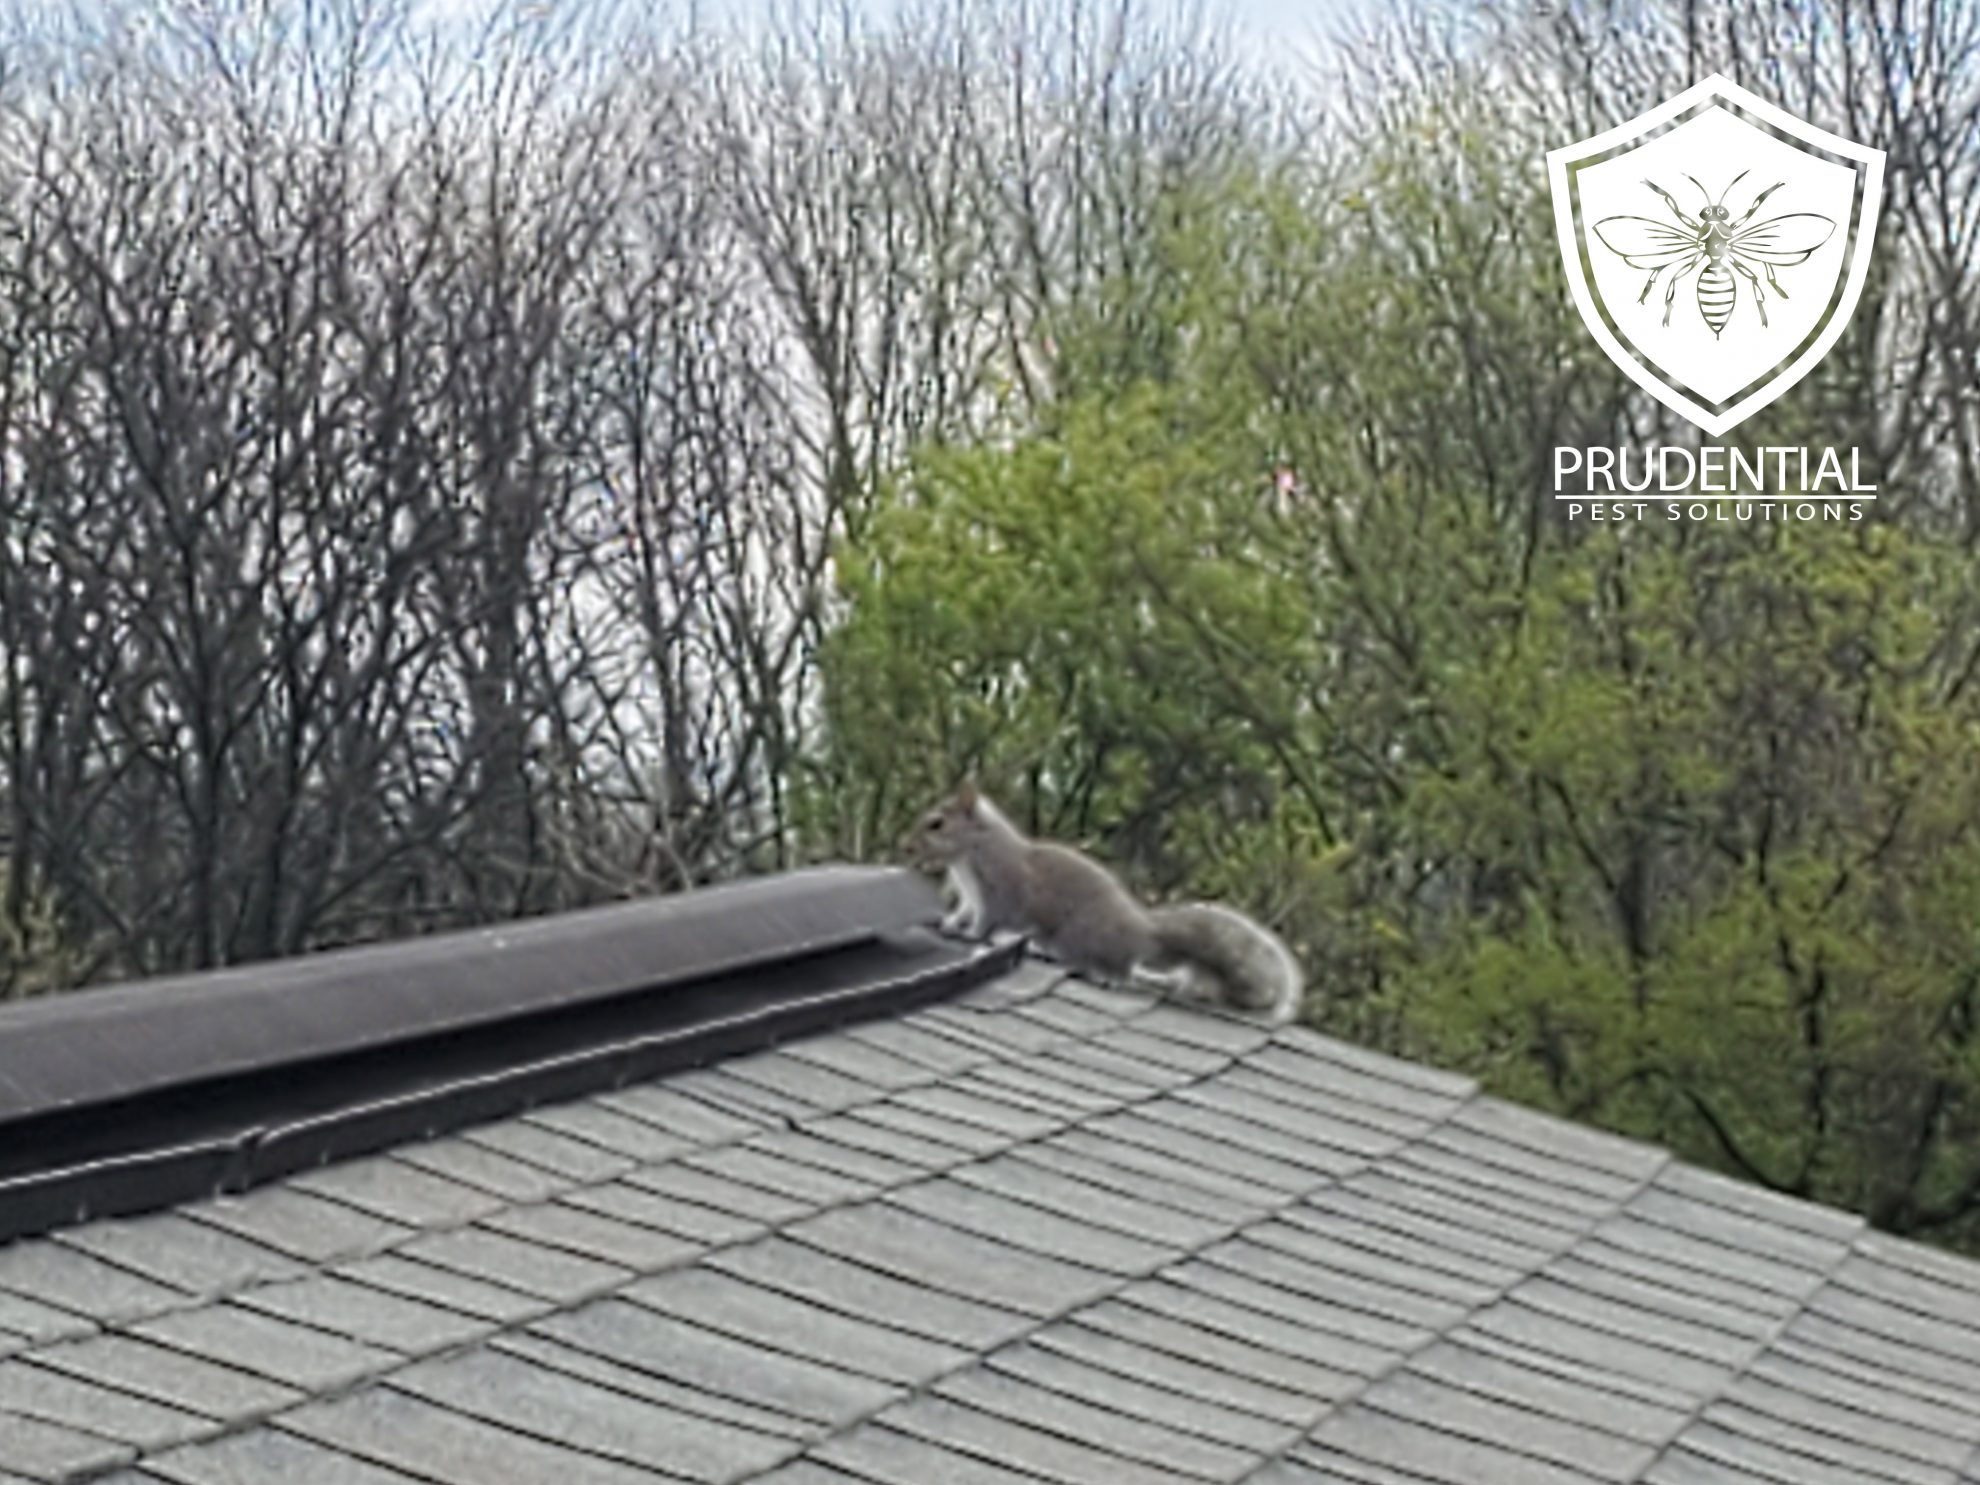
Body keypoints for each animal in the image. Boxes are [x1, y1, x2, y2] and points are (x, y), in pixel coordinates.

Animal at [904, 782, 1303, 1025]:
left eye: (937, 824)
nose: (907, 847)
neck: (973, 850)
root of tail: (1143, 933)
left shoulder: (1001, 890)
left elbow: (988, 919)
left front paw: (972, 936)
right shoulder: (970, 896)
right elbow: (964, 913)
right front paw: (949, 925)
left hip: (1085, 935)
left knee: (1121, 969)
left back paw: (1105, 976)